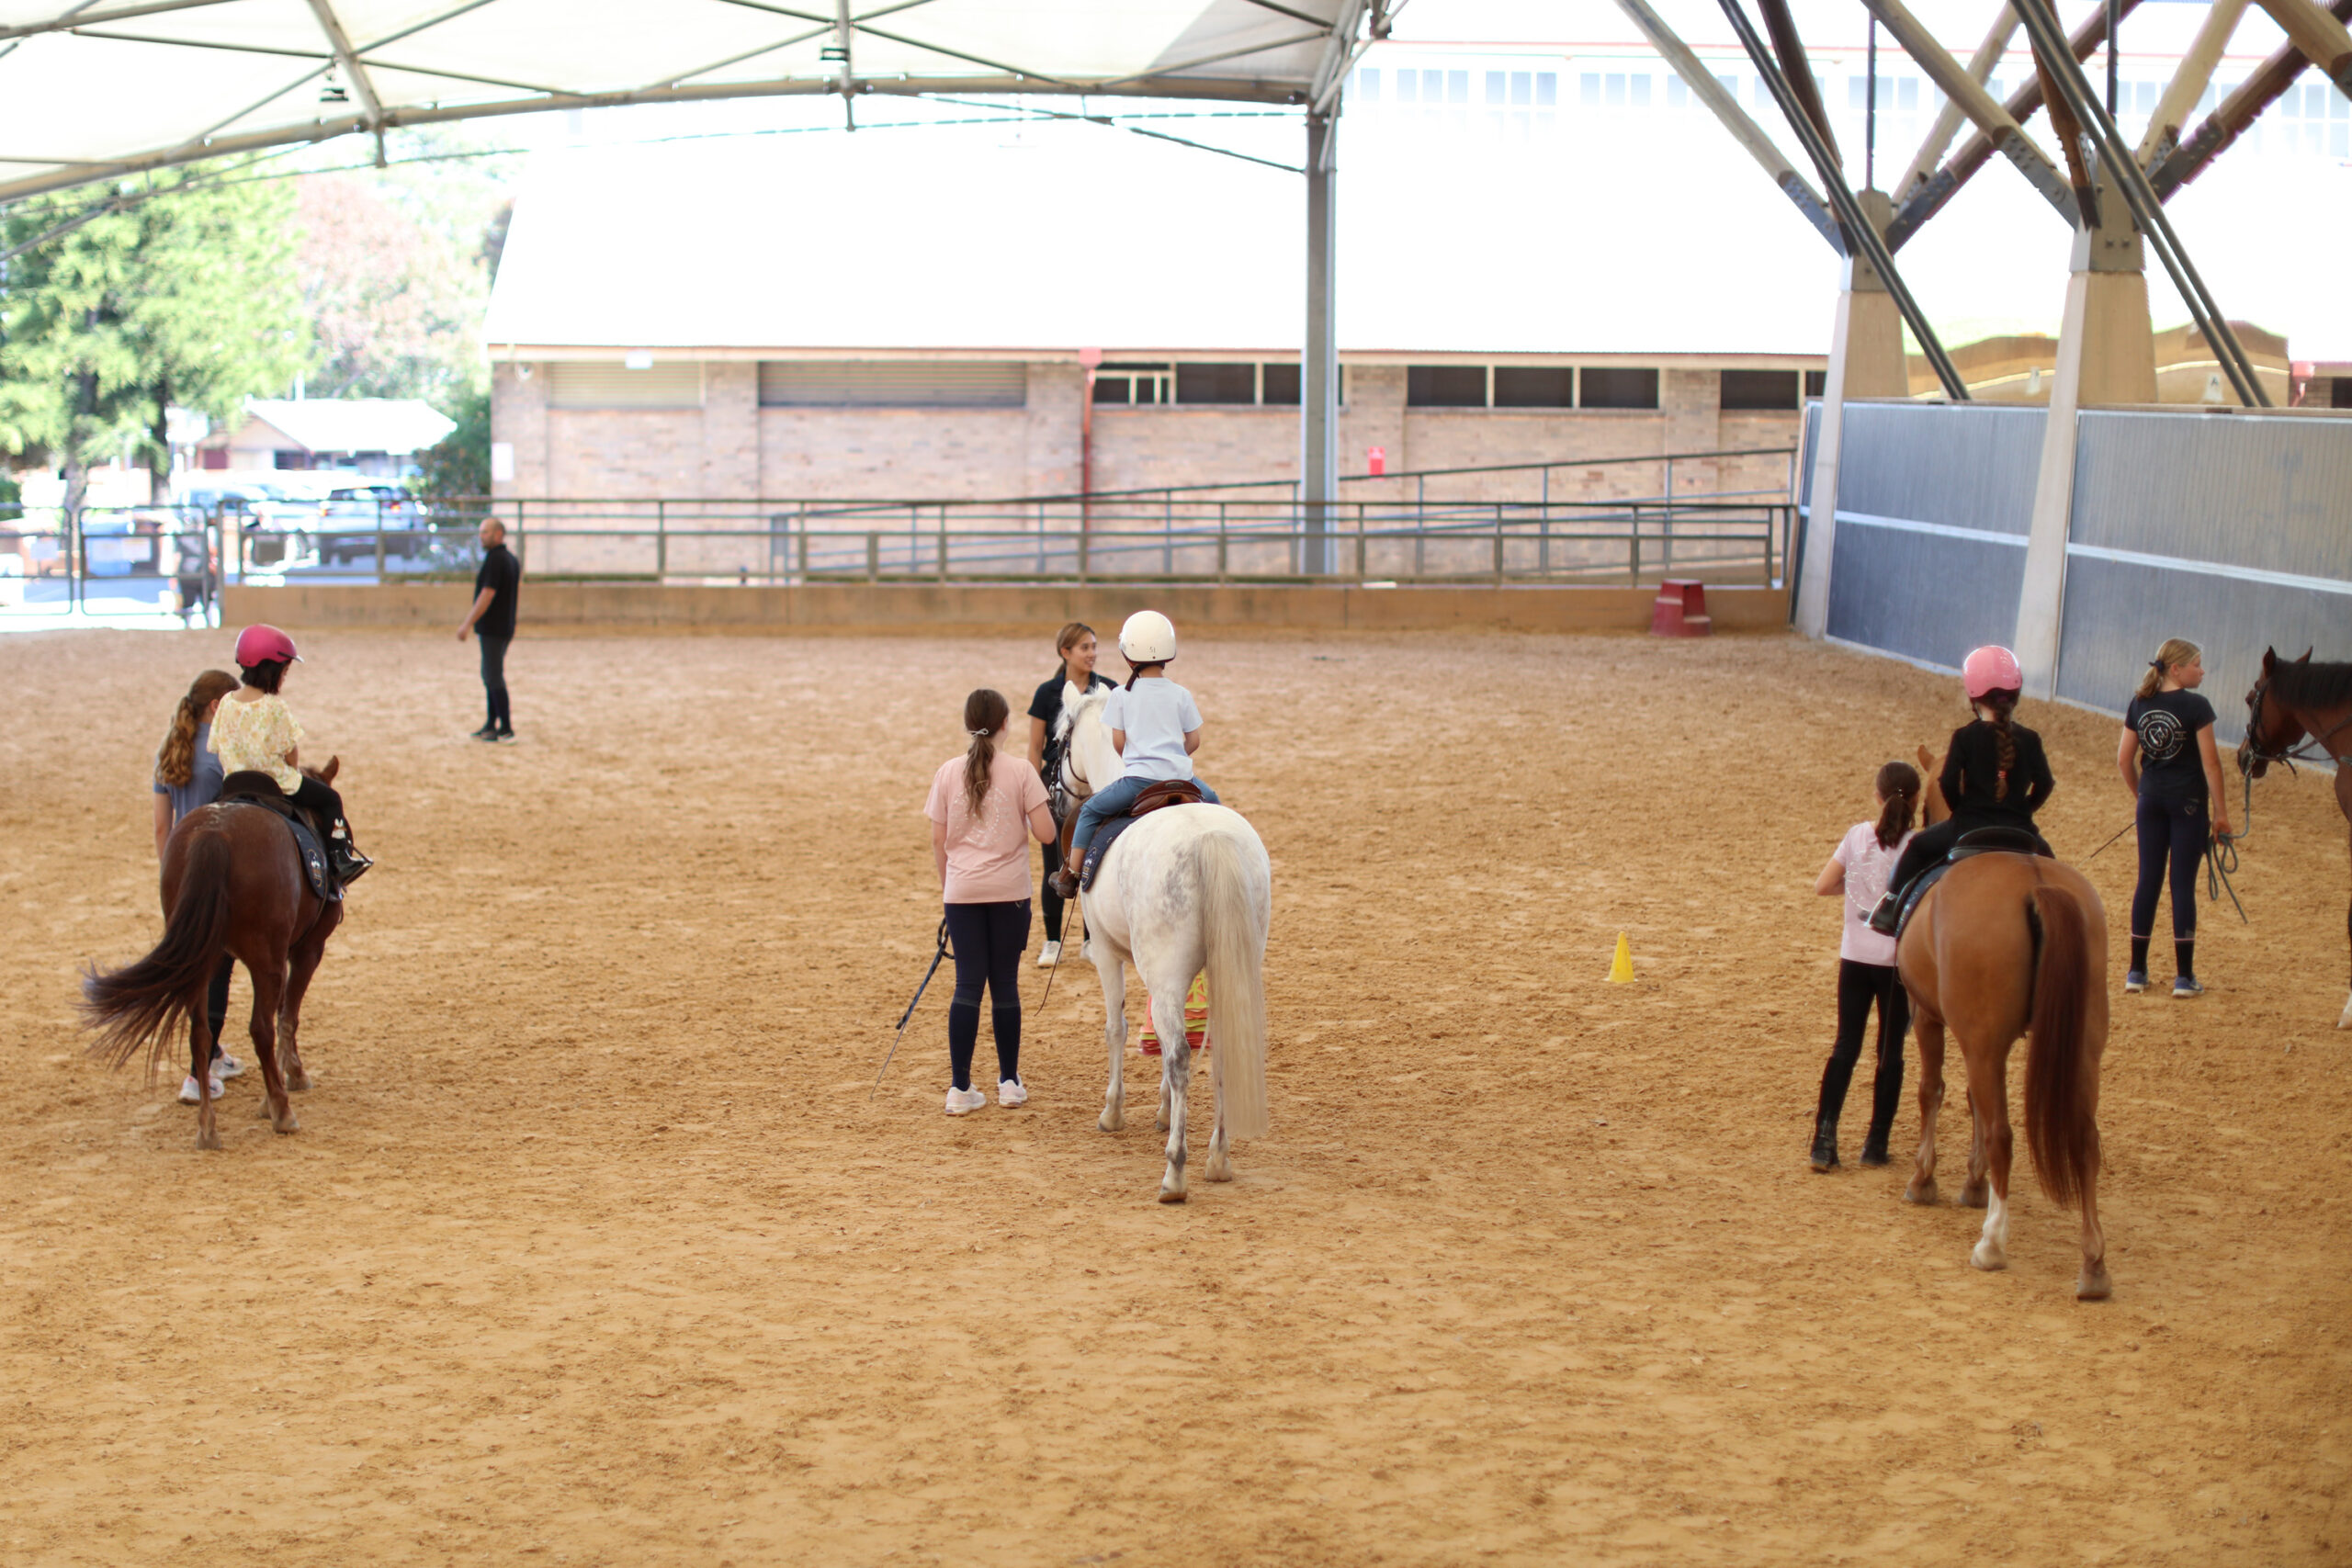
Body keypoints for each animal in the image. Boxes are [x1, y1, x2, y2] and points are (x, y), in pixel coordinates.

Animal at [84, 761, 343, 1146]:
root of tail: (215, 834)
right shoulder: (307, 949)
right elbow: (288, 1016)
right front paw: (291, 1079)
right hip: (265, 959)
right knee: (260, 1028)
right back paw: (282, 1113)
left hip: (199, 963)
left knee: (201, 1034)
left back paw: (207, 1127)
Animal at [1053, 677, 1270, 1203]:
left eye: (1059, 741)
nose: (1055, 797)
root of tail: (1210, 840)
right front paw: (1163, 1109)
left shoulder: (1107, 954)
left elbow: (1117, 1028)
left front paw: (1114, 1111)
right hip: (1225, 966)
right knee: (1216, 1049)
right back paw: (1217, 1158)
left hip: (1166, 971)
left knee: (1179, 1057)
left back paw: (1176, 1171)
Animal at [1891, 851, 2117, 1306]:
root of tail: (2035, 882)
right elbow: (1971, 1100)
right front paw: (1974, 1182)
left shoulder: (1927, 1016)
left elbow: (1932, 1091)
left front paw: (1924, 1179)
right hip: (2084, 1048)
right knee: (2086, 1143)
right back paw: (2094, 1267)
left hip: (1980, 1042)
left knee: (2002, 1134)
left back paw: (1992, 1244)